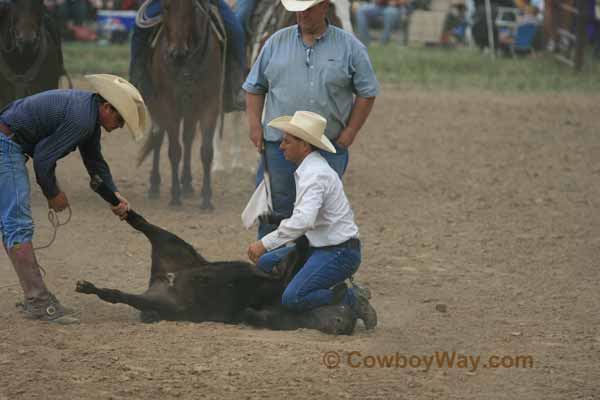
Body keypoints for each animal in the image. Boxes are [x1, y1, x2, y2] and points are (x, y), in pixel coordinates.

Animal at [74, 178, 356, 334]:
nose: (342, 324)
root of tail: (163, 278)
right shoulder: (284, 271)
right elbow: (301, 243)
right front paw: (271, 216)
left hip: (165, 300)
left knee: (121, 295)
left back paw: (89, 287)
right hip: (171, 241)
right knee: (138, 220)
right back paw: (103, 189)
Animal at [138, 0, 223, 208]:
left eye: (192, 7)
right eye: (165, 7)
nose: (177, 54)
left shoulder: (209, 103)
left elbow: (206, 151)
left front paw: (206, 198)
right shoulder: (168, 103)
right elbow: (174, 150)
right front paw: (175, 197)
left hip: (190, 109)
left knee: (188, 138)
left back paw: (187, 185)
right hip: (158, 105)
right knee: (159, 137)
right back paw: (154, 186)